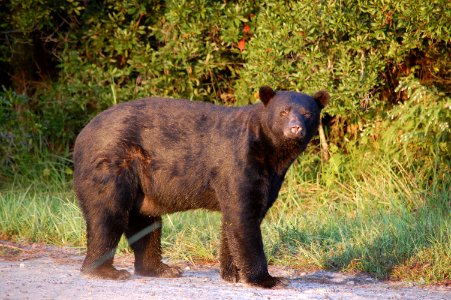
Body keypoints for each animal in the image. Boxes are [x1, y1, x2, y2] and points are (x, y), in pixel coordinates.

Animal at [73, 86, 328, 288]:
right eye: (283, 112)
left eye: (307, 113)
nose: (295, 128)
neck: (271, 154)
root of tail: (81, 134)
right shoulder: (239, 162)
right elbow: (244, 218)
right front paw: (268, 279)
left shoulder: (269, 176)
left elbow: (235, 220)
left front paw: (232, 273)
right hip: (111, 164)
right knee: (107, 214)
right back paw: (105, 271)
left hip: (142, 185)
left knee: (146, 223)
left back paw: (161, 269)